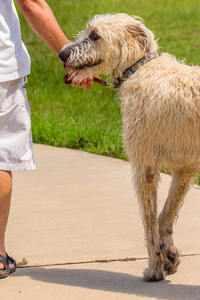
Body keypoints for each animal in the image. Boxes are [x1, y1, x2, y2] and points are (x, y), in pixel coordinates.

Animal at [58, 13, 200, 282]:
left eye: (95, 35)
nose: (62, 53)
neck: (139, 69)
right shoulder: (185, 167)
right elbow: (164, 215)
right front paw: (169, 255)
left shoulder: (145, 167)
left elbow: (149, 223)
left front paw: (154, 270)